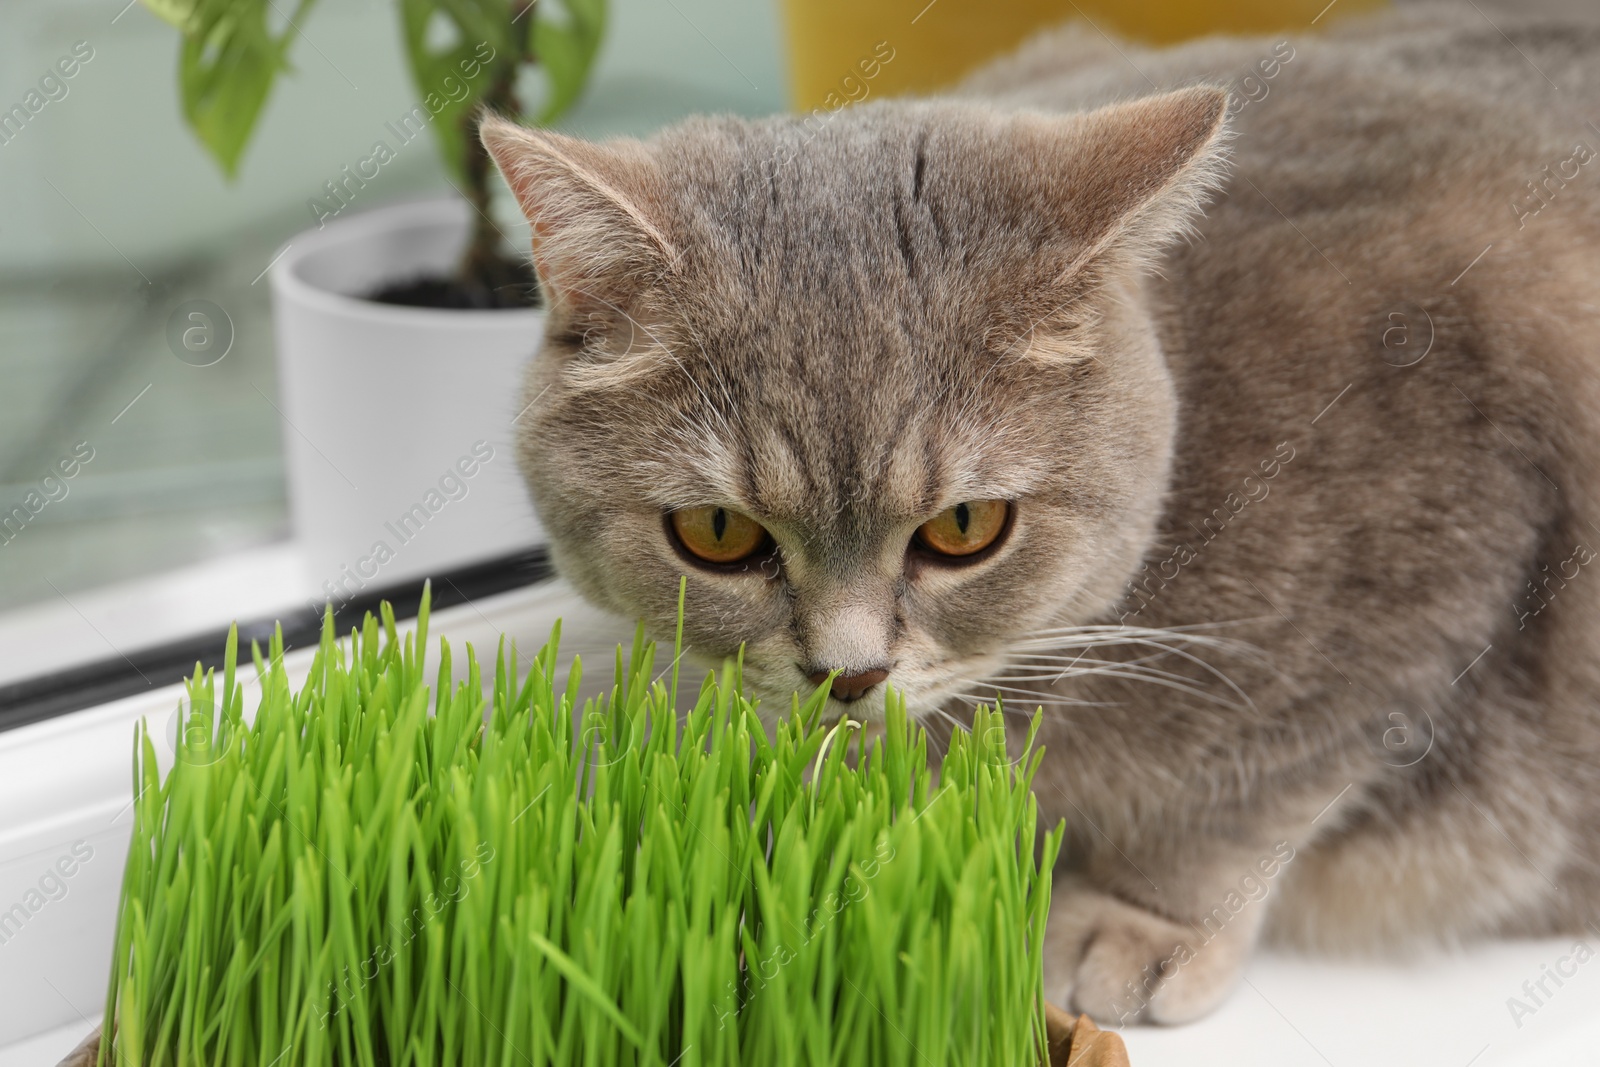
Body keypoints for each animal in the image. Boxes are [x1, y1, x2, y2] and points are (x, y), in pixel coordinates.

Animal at [480, 4, 1600, 1030]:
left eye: (966, 527)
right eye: (718, 535)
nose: (849, 674)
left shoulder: (1437, 562)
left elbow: (1261, 786)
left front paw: (1136, 920)